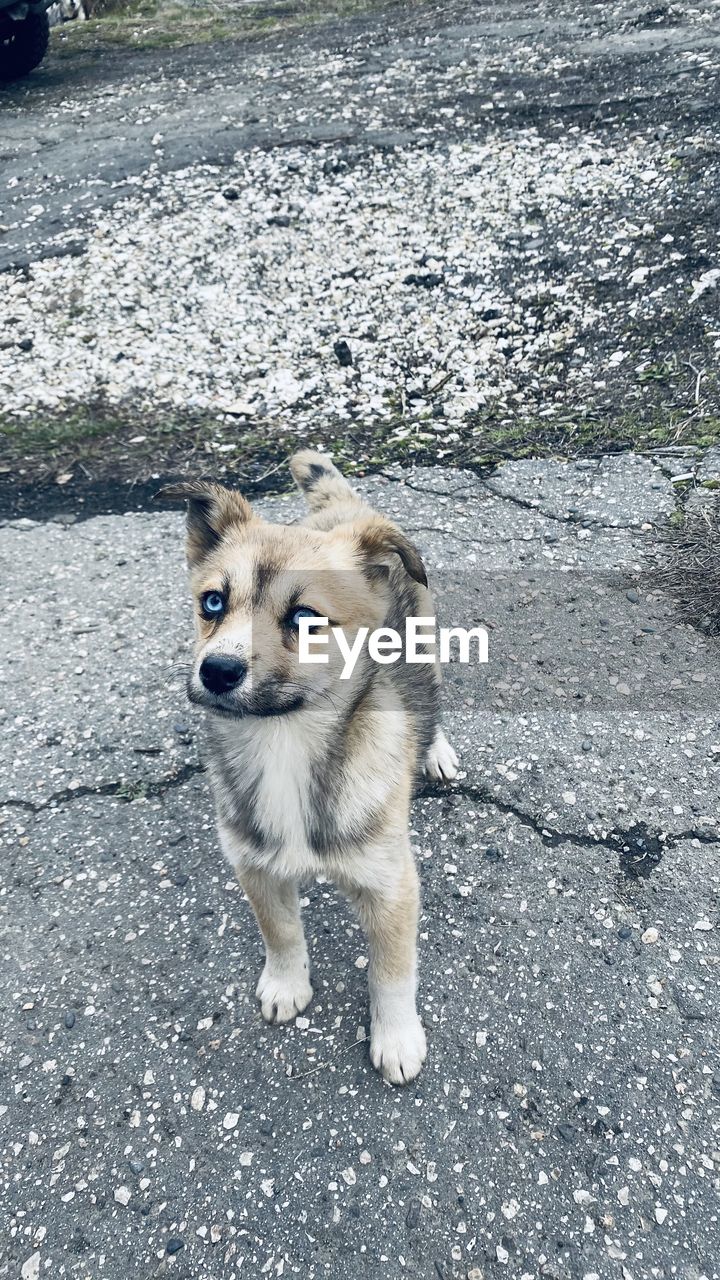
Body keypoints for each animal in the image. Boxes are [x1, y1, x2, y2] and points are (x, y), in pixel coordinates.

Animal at [159, 450, 456, 1080]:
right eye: (212, 602)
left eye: (303, 617)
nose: (216, 671)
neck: (284, 740)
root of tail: (347, 511)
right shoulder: (255, 866)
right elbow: (281, 934)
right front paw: (286, 984)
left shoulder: (391, 883)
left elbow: (392, 973)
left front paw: (396, 1038)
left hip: (428, 640)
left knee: (431, 699)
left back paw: (437, 750)